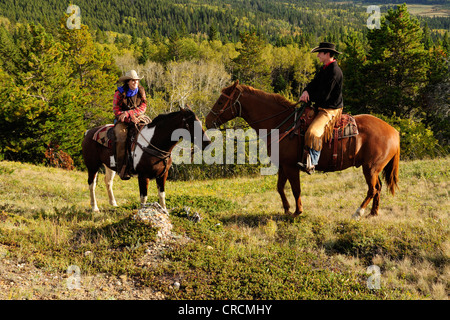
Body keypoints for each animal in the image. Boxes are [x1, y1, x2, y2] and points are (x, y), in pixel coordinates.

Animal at [81, 107, 210, 212]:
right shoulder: (143, 176)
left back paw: (113, 203)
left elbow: (162, 194)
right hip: (92, 166)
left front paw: (164, 211)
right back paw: (94, 207)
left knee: (108, 181)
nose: (207, 142)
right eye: (191, 124)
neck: (152, 143)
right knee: (92, 184)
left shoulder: (163, 175)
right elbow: (144, 197)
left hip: (110, 166)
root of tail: (88, 132)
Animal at [206, 81, 400, 219]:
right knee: (378, 188)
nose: (208, 121)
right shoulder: (283, 165)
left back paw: (358, 212)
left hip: (370, 168)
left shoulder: (291, 166)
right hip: (374, 169)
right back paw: (373, 213)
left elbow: (295, 188)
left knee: (372, 189)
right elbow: (280, 187)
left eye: (221, 101)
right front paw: (286, 209)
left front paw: (298, 211)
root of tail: (394, 131)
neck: (282, 123)